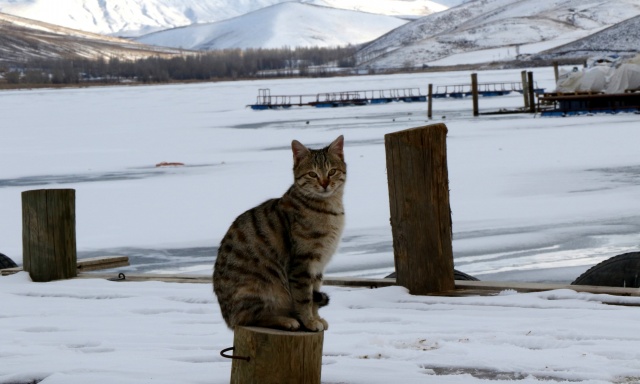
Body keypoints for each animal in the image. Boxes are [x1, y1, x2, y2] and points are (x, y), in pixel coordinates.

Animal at [214, 136, 344, 332]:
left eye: (332, 171)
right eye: (312, 174)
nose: (324, 183)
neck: (329, 208)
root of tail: (227, 318)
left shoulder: (318, 265)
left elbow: (314, 297)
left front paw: (316, 318)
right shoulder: (302, 264)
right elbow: (304, 298)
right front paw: (309, 321)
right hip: (260, 290)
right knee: (248, 319)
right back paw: (286, 321)